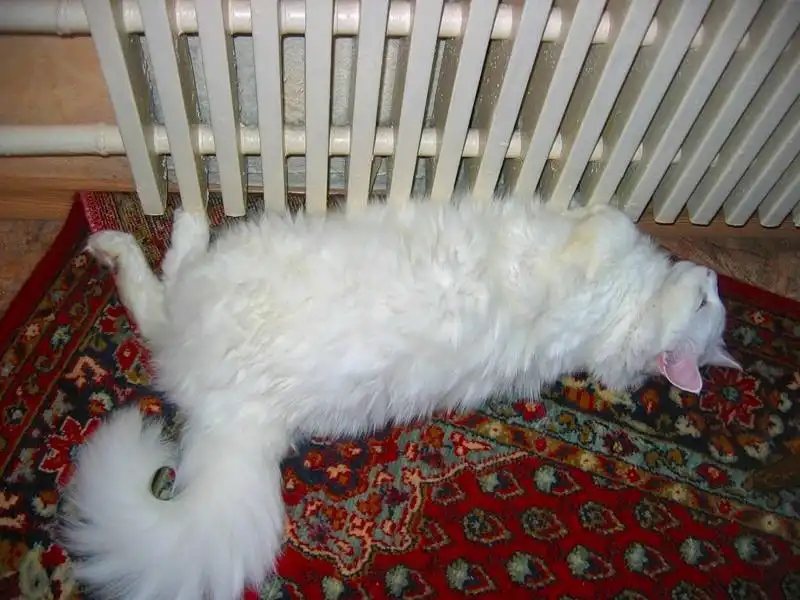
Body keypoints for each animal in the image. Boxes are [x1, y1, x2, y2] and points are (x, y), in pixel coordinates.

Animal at [60, 195, 740, 600]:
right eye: (710, 301)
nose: (712, 275)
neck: (622, 322)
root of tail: (238, 418)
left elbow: (608, 225)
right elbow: (605, 219)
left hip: (215, 286)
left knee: (166, 289)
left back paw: (162, 230)